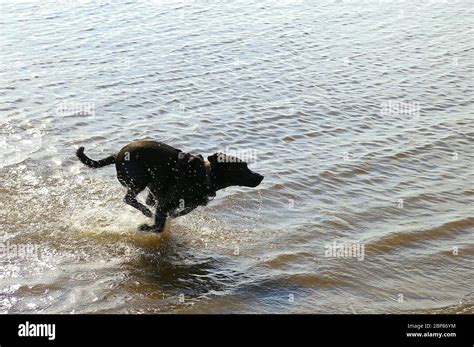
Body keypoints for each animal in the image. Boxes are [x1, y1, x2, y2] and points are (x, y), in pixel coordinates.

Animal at [76, 141, 264, 234]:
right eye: (242, 168)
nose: (261, 177)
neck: (204, 176)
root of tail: (117, 155)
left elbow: (178, 212)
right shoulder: (164, 203)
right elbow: (159, 226)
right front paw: (147, 227)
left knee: (146, 199)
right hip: (139, 179)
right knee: (129, 198)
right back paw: (145, 211)